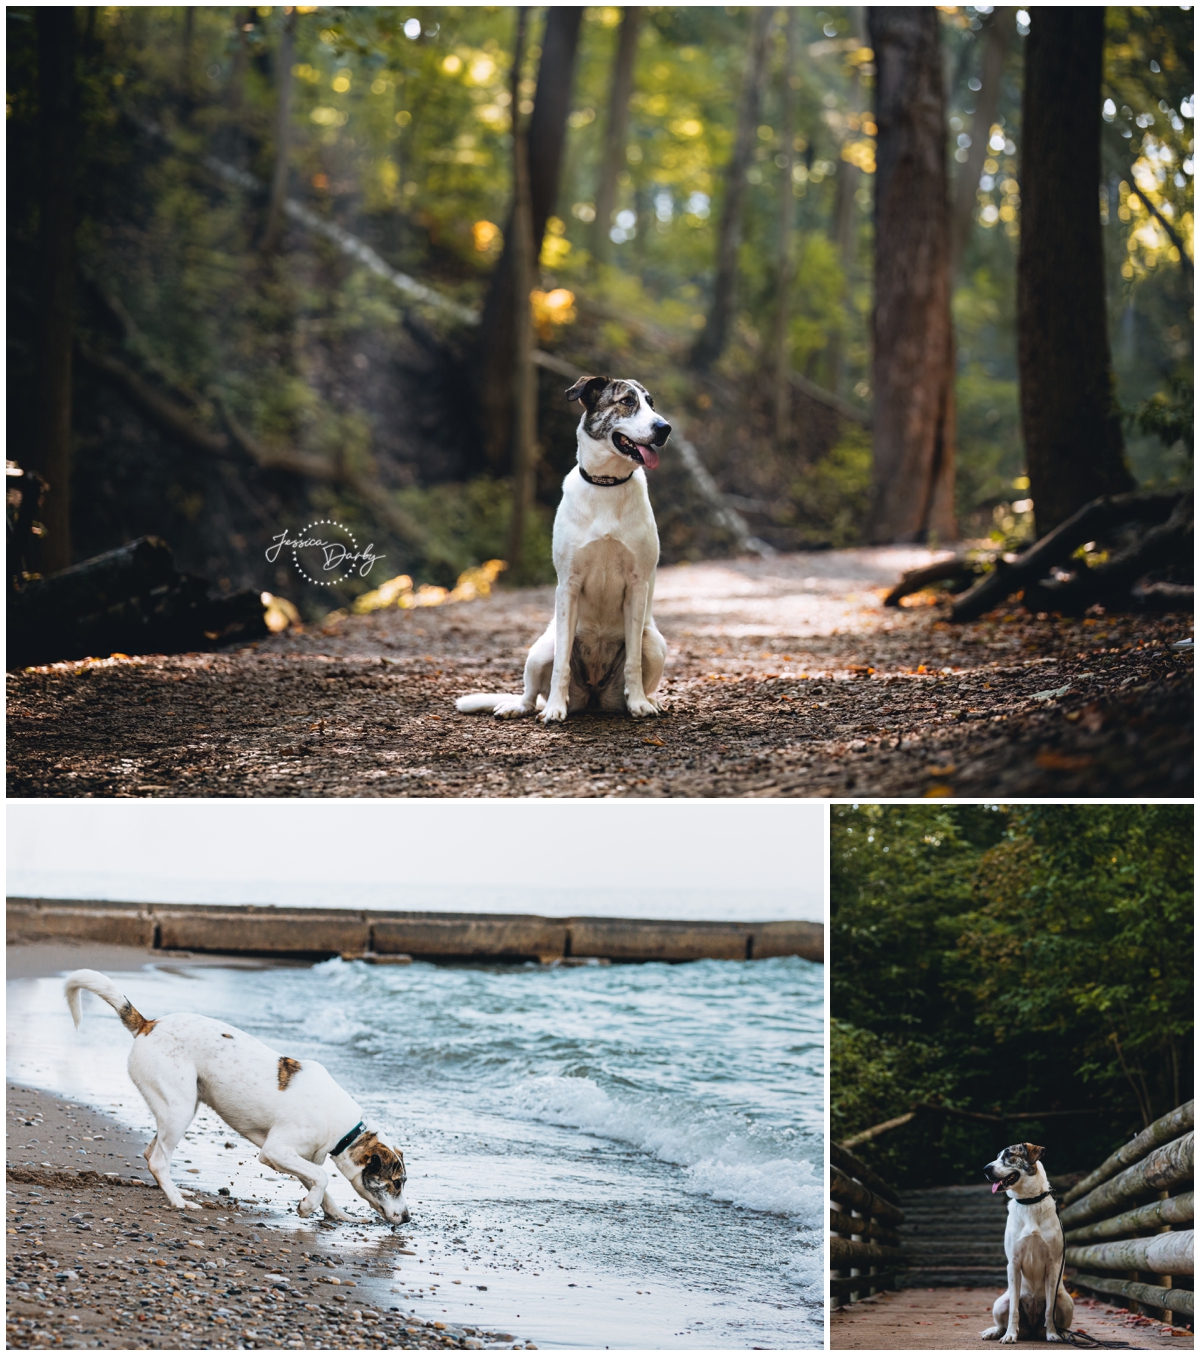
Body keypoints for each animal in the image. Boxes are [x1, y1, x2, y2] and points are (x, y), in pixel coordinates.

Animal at [66, 965, 412, 1231]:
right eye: (396, 1183)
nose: (408, 1218)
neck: (343, 1128)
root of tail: (148, 1025)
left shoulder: (304, 1158)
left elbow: (320, 1183)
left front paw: (337, 1214)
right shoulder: (276, 1151)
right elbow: (323, 1177)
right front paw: (306, 1207)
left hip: (175, 1109)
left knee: (152, 1153)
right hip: (179, 1109)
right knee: (159, 1161)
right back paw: (179, 1201)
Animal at [452, 374, 669, 721]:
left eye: (651, 403)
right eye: (627, 401)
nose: (665, 428)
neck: (607, 485)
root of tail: (594, 696)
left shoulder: (637, 587)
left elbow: (633, 663)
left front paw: (638, 703)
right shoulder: (568, 585)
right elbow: (560, 668)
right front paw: (555, 708)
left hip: (655, 643)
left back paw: (649, 700)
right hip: (541, 649)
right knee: (531, 693)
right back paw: (520, 707)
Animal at [976, 1144, 1073, 1345]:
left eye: (1009, 1155)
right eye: (997, 1156)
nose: (985, 1169)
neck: (1029, 1202)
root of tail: (1032, 1330)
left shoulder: (1053, 1265)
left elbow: (1049, 1309)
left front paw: (1052, 1334)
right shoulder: (1013, 1263)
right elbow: (1014, 1309)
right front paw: (1010, 1335)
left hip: (1066, 1301)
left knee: (1060, 1319)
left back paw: (1063, 1334)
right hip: (1000, 1303)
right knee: (1002, 1320)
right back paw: (995, 1332)